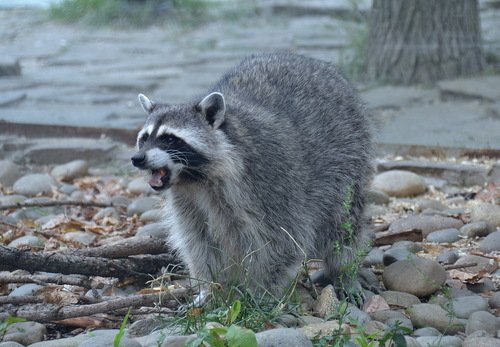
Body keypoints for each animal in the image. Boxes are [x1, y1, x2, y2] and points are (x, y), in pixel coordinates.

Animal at [131, 51, 374, 300]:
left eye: (170, 139)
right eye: (144, 138)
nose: (137, 159)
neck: (195, 179)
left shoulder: (270, 182)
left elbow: (282, 240)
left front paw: (261, 292)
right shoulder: (187, 200)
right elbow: (198, 241)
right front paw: (210, 287)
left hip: (348, 160)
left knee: (343, 225)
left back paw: (344, 271)